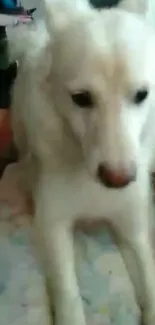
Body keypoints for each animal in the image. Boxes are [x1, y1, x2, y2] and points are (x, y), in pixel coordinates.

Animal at [9, 0, 155, 322]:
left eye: (142, 95)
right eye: (81, 98)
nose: (118, 179)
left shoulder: (133, 227)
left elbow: (149, 277)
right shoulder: (54, 225)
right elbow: (68, 295)